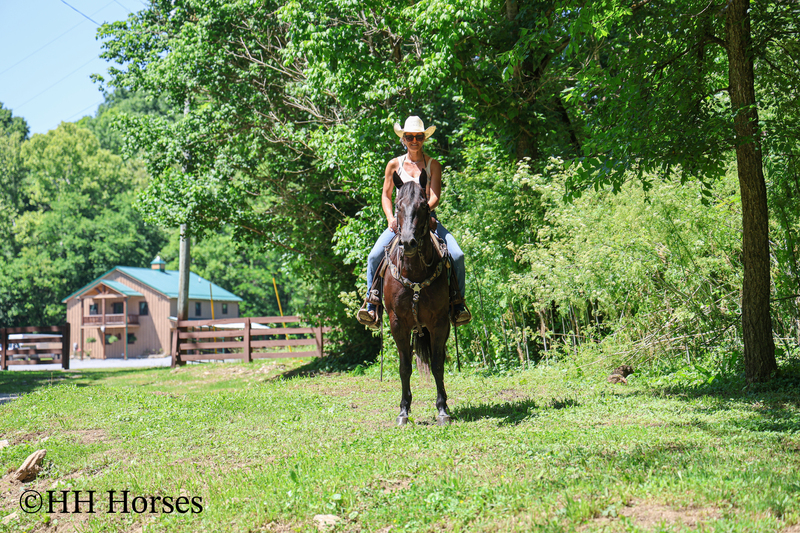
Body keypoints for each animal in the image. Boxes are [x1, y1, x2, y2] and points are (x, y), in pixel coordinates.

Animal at [383, 169, 452, 426]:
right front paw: (403, 410)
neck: (414, 272)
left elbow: (437, 364)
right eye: (398, 206)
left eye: (423, 205)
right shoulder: (397, 323)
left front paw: (442, 409)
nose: (408, 242)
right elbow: (404, 367)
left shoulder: (440, 323)